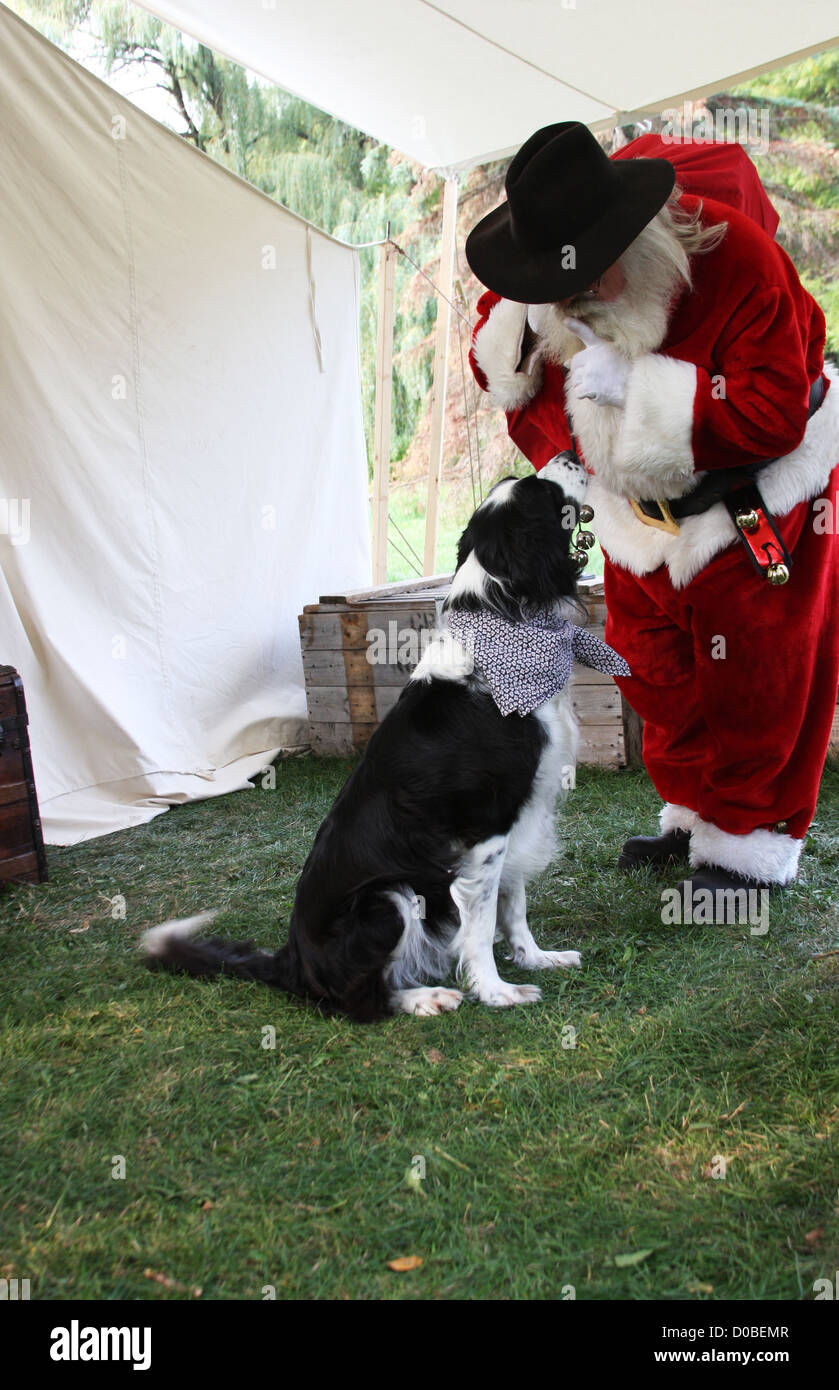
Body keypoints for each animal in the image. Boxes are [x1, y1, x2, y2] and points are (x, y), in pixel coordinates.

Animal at [140, 455, 622, 1023]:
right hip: (387, 897)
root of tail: (291, 959)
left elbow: (515, 903)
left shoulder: (519, 817)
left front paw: (537, 958)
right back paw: (426, 997)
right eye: (542, 491)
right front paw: (495, 990)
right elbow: (482, 923)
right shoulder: (485, 828)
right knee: (356, 1000)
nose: (570, 454)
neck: (505, 619)